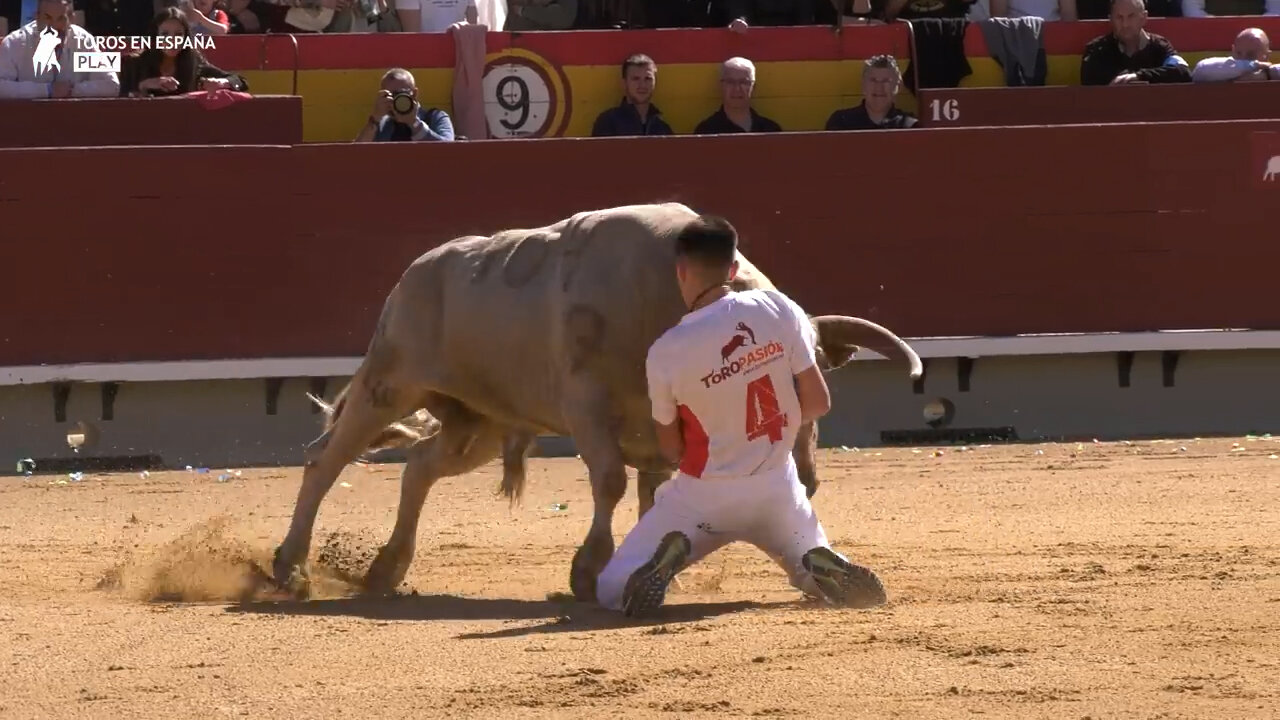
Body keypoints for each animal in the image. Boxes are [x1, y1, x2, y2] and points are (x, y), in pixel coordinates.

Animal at [270, 202, 921, 599]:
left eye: (812, 378)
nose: (806, 478)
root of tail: (415, 273)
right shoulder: (587, 406)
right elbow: (609, 480)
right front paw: (588, 569)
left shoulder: (655, 429)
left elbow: (651, 495)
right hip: (391, 382)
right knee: (325, 460)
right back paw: (289, 565)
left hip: (478, 422)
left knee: (421, 467)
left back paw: (386, 567)